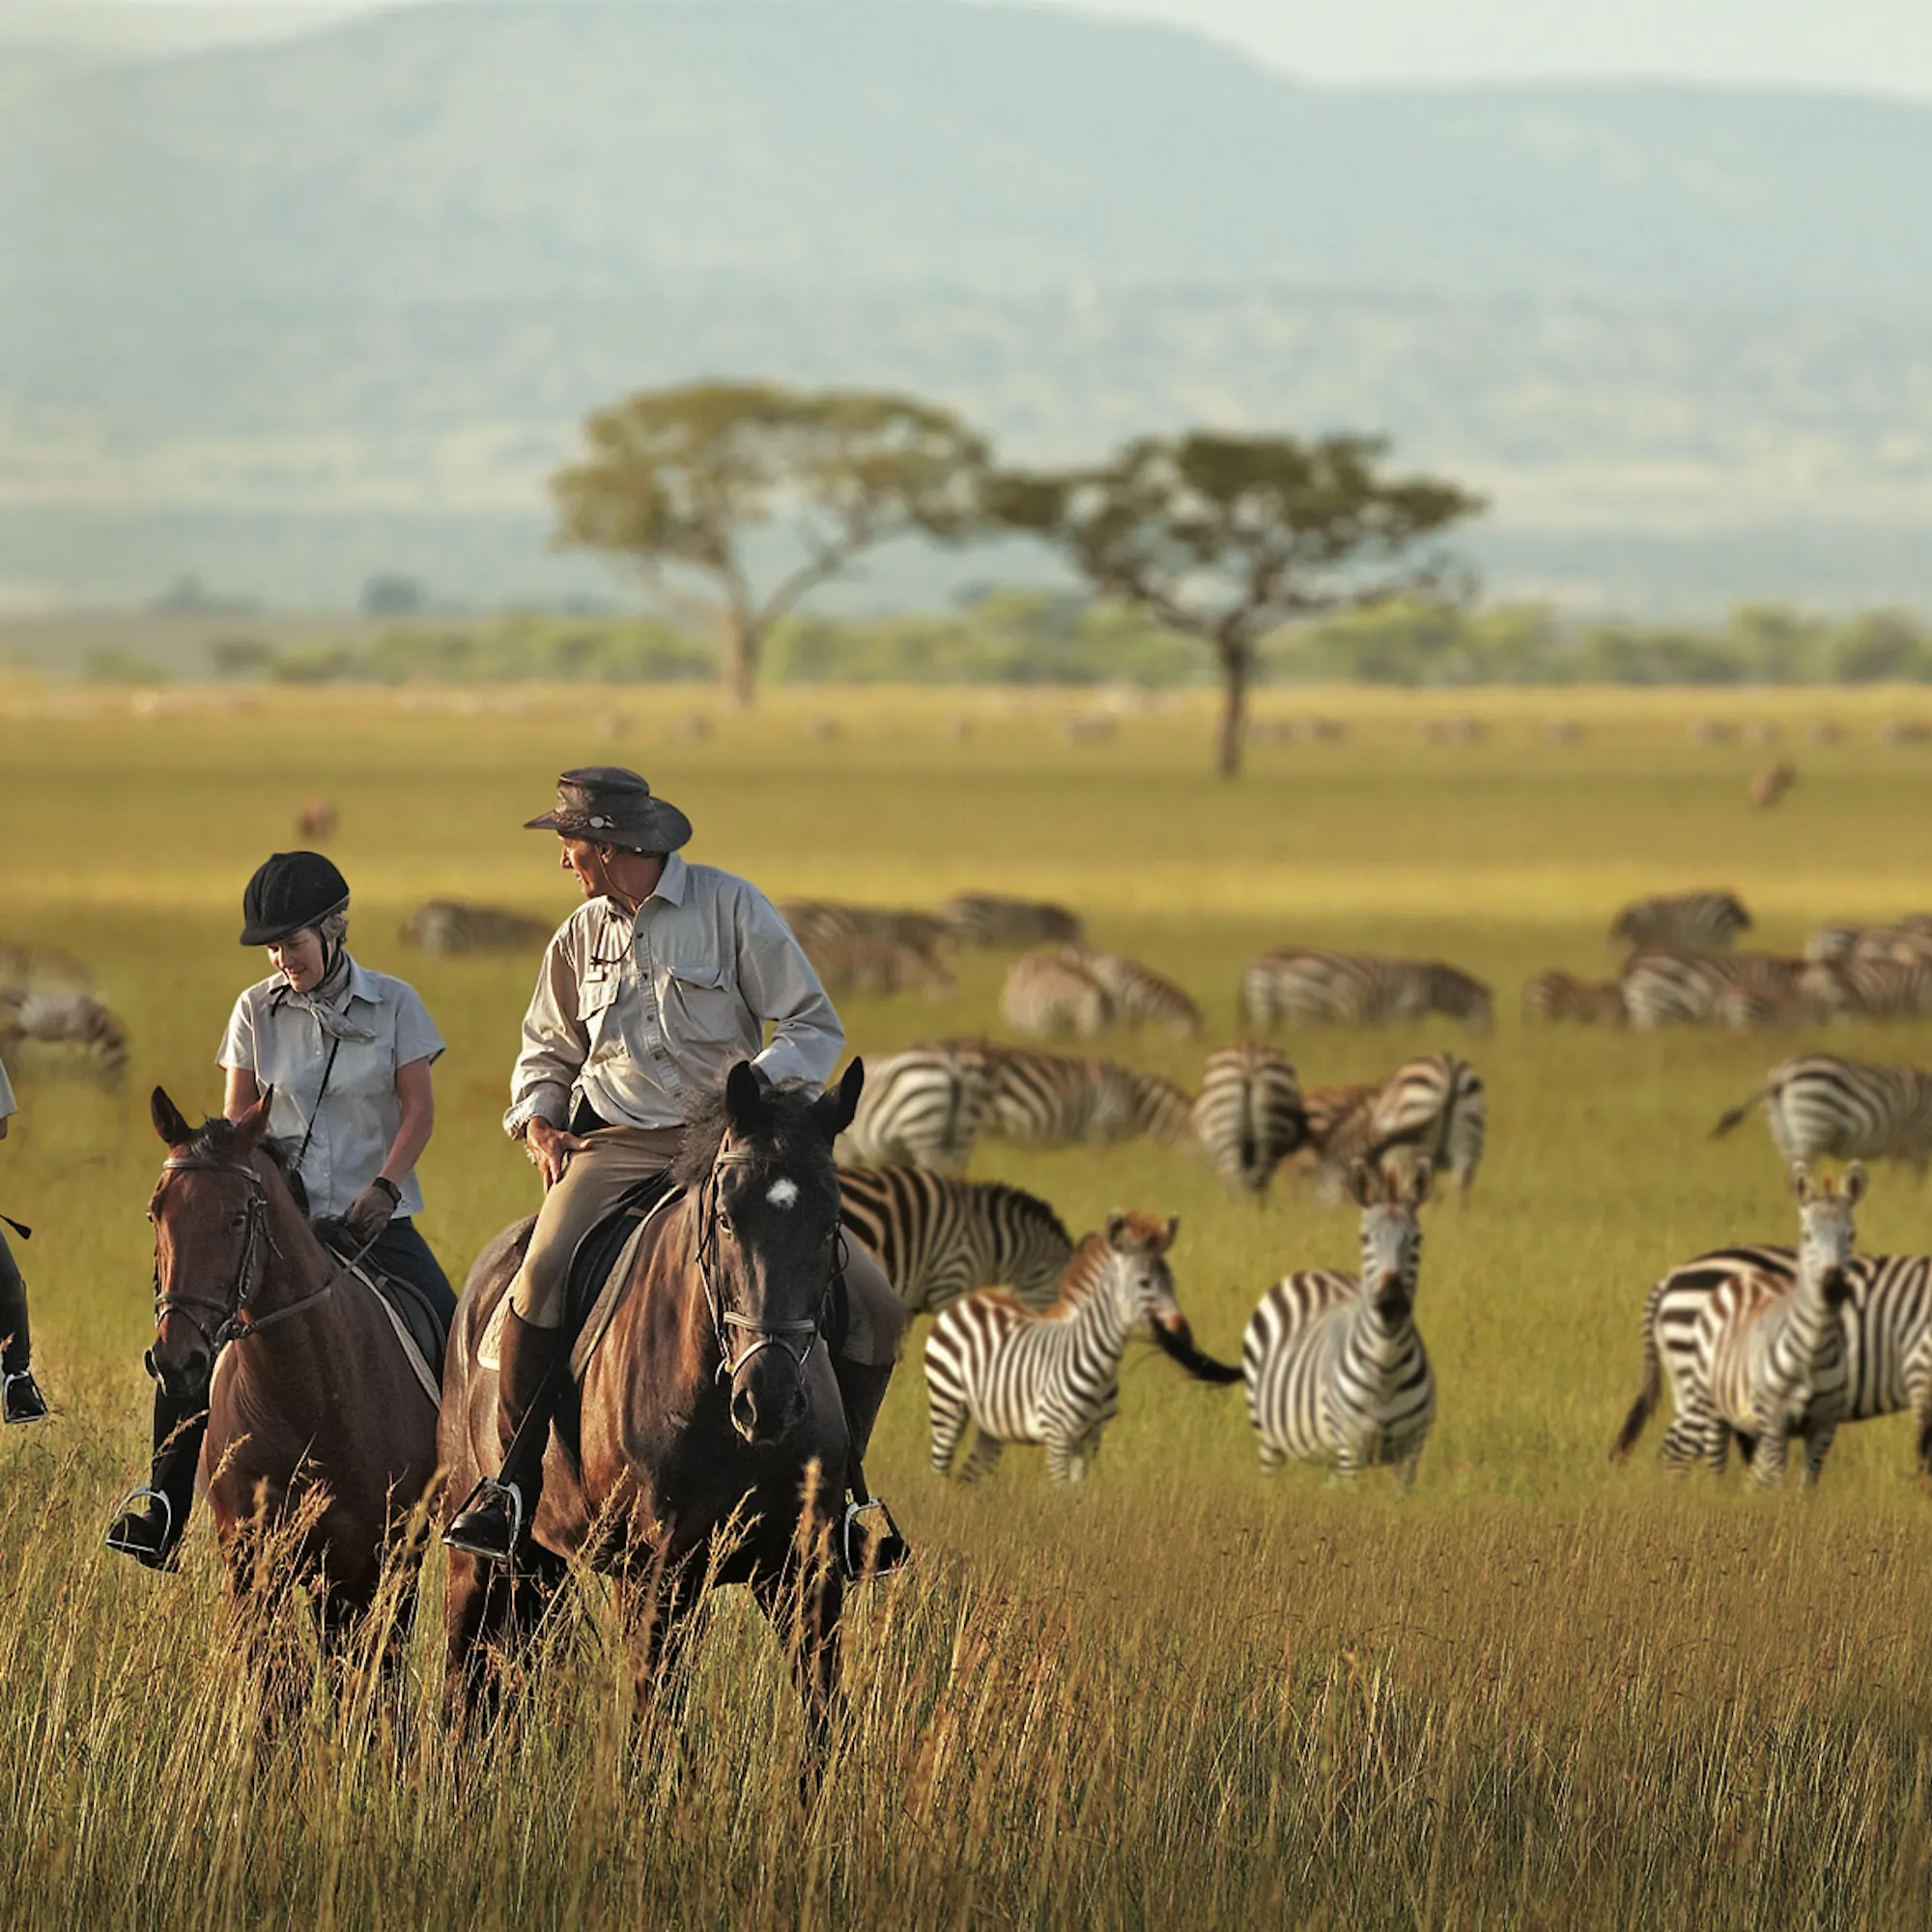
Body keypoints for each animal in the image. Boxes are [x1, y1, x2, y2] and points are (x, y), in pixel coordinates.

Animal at [924, 1210, 1188, 1483]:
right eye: (1145, 1283)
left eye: (1172, 1281)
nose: (1180, 1327)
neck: (1102, 1362)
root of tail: (972, 1298)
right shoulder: (1058, 1436)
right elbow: (1061, 1491)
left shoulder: (1090, 1439)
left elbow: (1077, 1492)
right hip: (946, 1401)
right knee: (938, 1471)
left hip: (992, 1423)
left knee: (969, 1475)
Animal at [1237, 950, 1494, 1035]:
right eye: (1491, 1015)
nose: (1491, 1041)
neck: (1431, 987)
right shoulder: (1407, 1013)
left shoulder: (1385, 1017)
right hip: (1304, 1010)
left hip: (1266, 1009)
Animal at [1241, 1159, 1436, 1486]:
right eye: (1364, 1238)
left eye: (1417, 1239)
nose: (1391, 1302)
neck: (1387, 1366)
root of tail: (1314, 1271)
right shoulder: (1350, 1449)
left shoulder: (1411, 1451)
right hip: (1268, 1436)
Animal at [1713, 1054, 1932, 1177]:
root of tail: (1781, 1076)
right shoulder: (1917, 1142)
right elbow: (1917, 1180)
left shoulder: (1898, 1147)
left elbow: (1892, 1177)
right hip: (1811, 1127)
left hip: (1784, 1134)